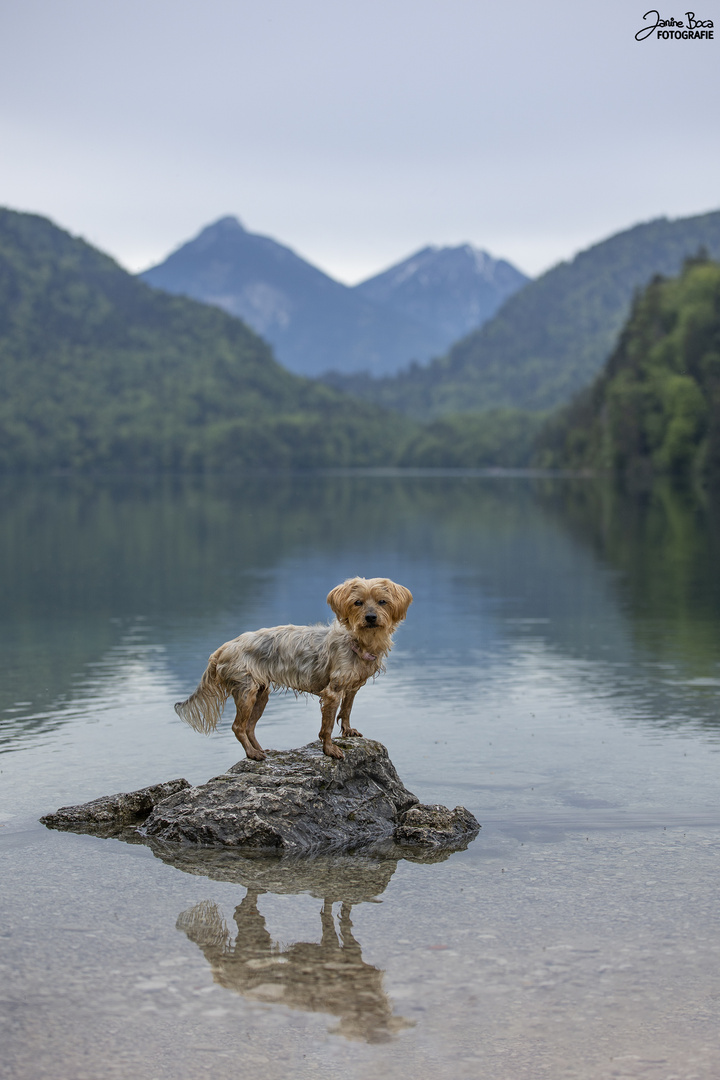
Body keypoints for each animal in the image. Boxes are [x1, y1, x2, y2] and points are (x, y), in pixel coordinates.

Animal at [174, 578, 410, 764]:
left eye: (382, 602)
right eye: (357, 603)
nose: (370, 617)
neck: (359, 641)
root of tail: (223, 648)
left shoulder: (351, 687)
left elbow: (346, 711)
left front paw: (348, 730)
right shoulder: (332, 693)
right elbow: (326, 726)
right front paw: (329, 749)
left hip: (261, 694)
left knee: (249, 726)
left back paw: (260, 749)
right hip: (246, 691)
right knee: (238, 727)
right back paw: (252, 753)